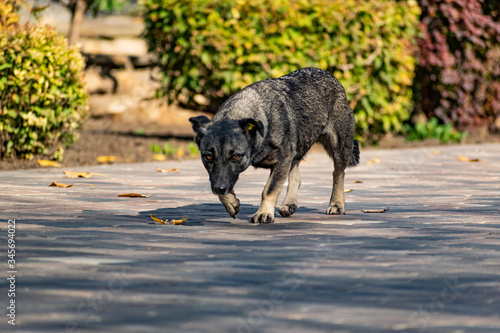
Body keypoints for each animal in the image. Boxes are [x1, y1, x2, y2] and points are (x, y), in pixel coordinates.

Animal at [189, 67, 358, 223]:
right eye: (208, 156)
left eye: (236, 156)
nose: (219, 188)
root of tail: (330, 76)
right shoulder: (220, 176)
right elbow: (221, 184)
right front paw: (231, 203)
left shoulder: (282, 161)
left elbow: (269, 190)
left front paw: (263, 213)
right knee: (296, 176)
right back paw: (289, 203)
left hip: (339, 147)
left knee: (338, 174)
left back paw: (337, 204)